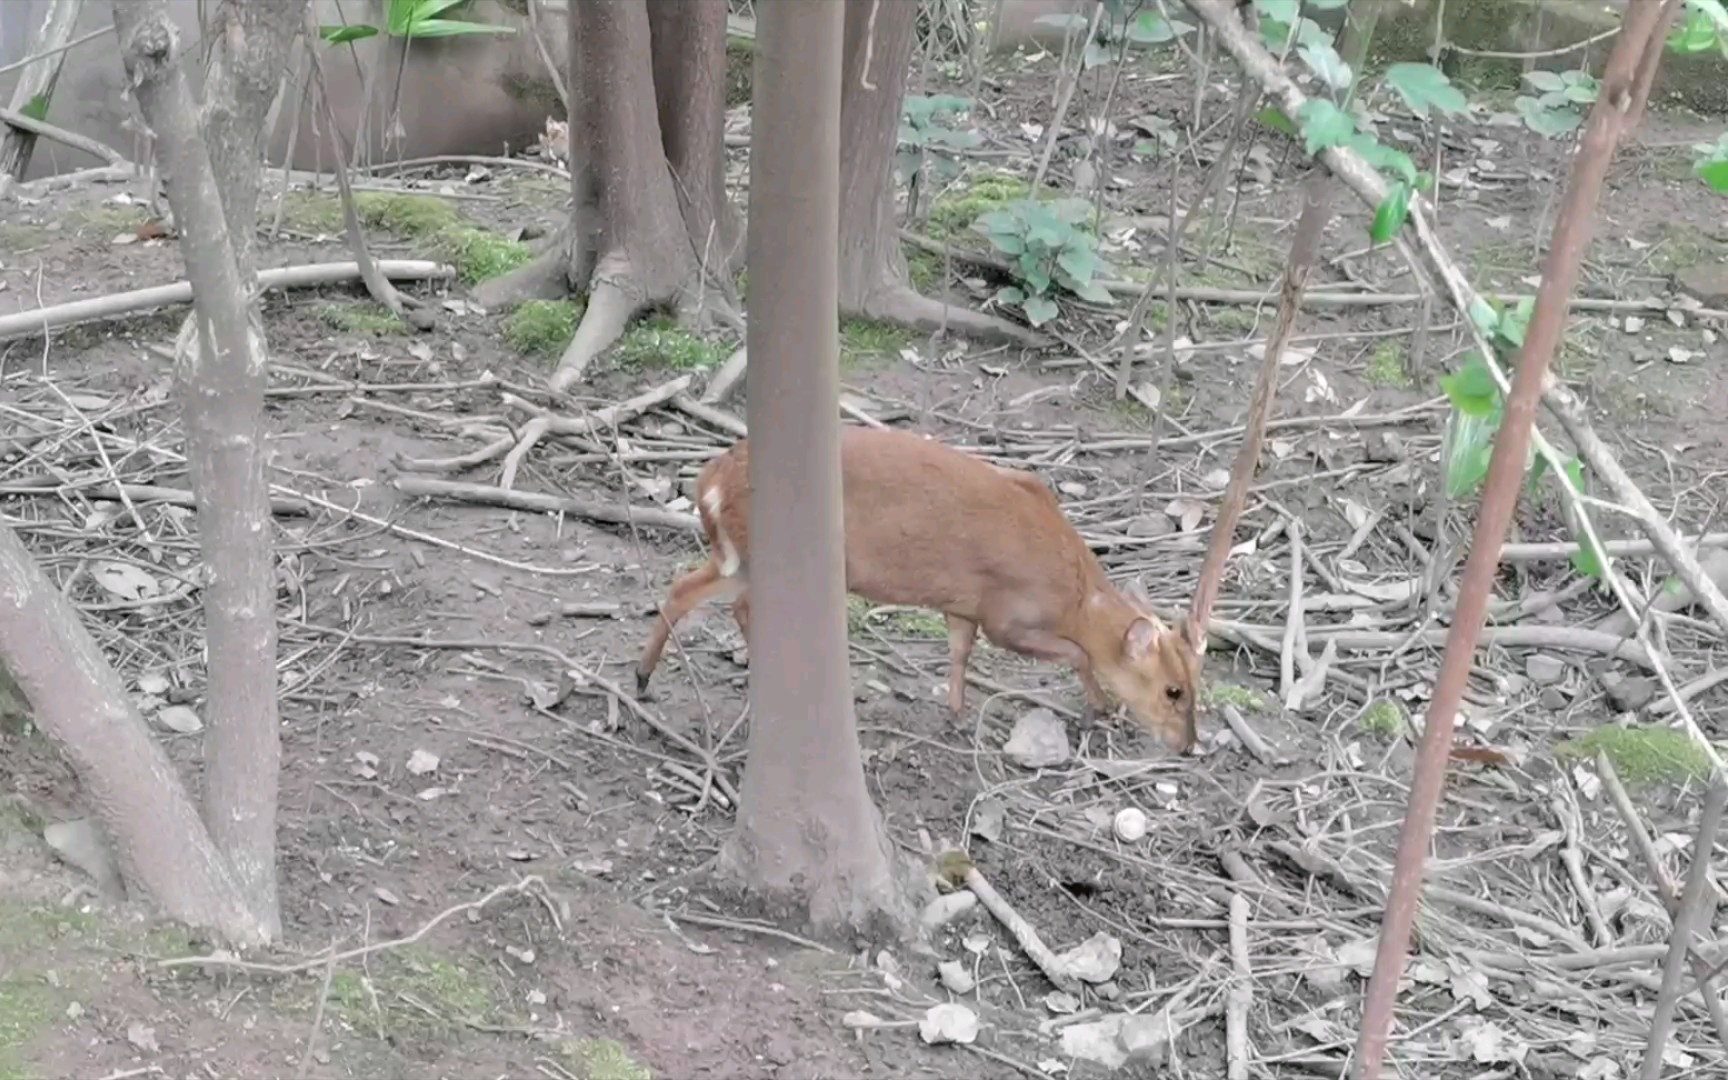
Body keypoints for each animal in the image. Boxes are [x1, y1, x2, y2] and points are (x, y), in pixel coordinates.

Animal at [632, 423, 1202, 749]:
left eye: (1195, 683)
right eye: (1173, 690)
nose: (1189, 745)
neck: (1074, 595)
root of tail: (711, 482)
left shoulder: (963, 606)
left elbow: (959, 653)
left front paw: (956, 714)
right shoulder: (1007, 614)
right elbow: (1078, 654)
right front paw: (1099, 708)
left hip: (738, 554)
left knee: (684, 588)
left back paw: (642, 677)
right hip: (786, 552)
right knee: (743, 605)